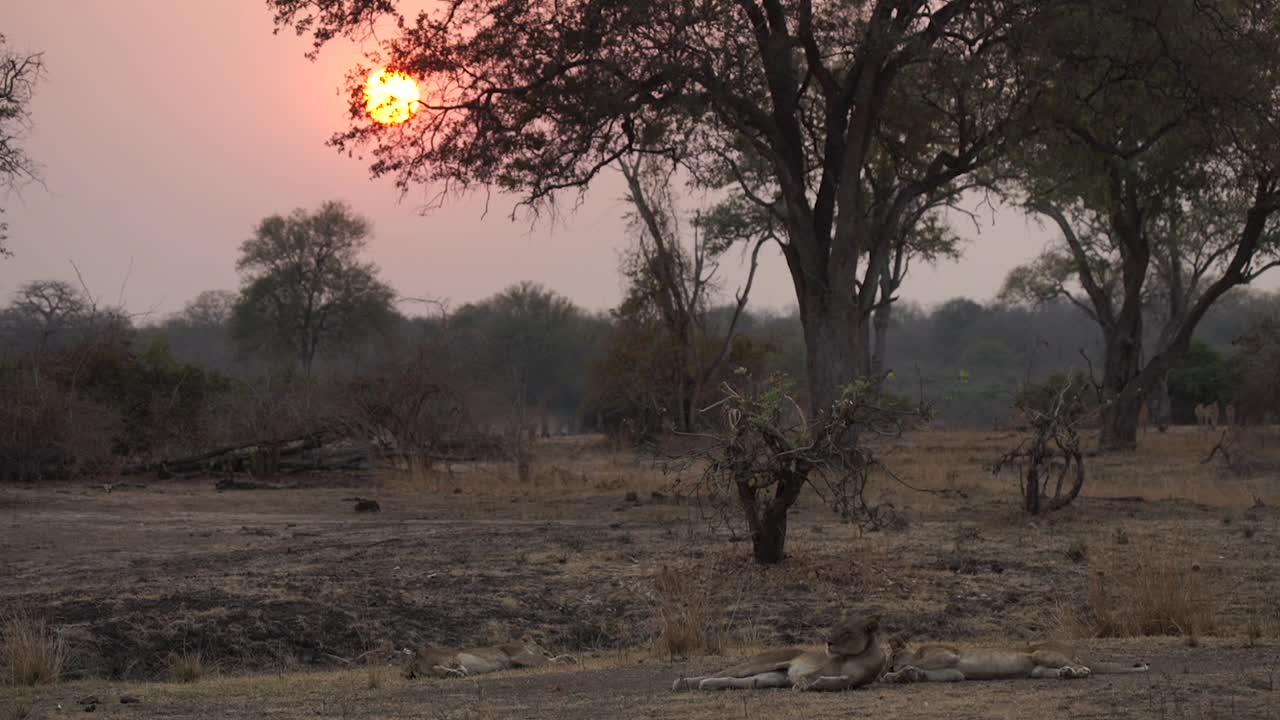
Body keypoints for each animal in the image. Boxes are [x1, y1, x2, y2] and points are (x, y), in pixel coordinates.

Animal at [670, 609, 890, 691]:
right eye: (835, 627)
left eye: (847, 632)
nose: (828, 642)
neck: (858, 656)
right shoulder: (821, 667)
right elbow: (813, 676)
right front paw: (804, 684)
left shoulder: (858, 680)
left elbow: (840, 682)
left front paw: (810, 684)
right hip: (757, 664)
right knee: (721, 672)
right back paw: (682, 682)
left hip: (771, 678)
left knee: (738, 681)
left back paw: (707, 685)